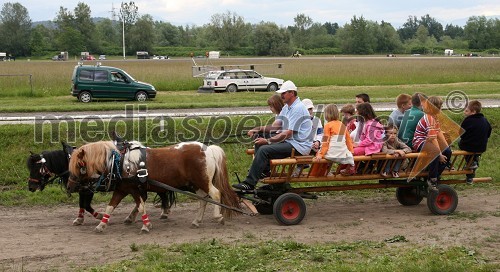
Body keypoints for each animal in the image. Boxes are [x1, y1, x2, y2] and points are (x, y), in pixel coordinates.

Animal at [68, 141, 240, 233]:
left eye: (79, 165)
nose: (69, 187)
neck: (120, 162)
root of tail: (208, 149)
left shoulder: (134, 189)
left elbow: (141, 206)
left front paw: (146, 225)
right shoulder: (121, 189)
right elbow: (111, 207)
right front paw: (101, 225)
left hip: (203, 181)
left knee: (216, 194)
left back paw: (218, 216)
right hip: (196, 185)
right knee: (203, 200)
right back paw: (196, 221)